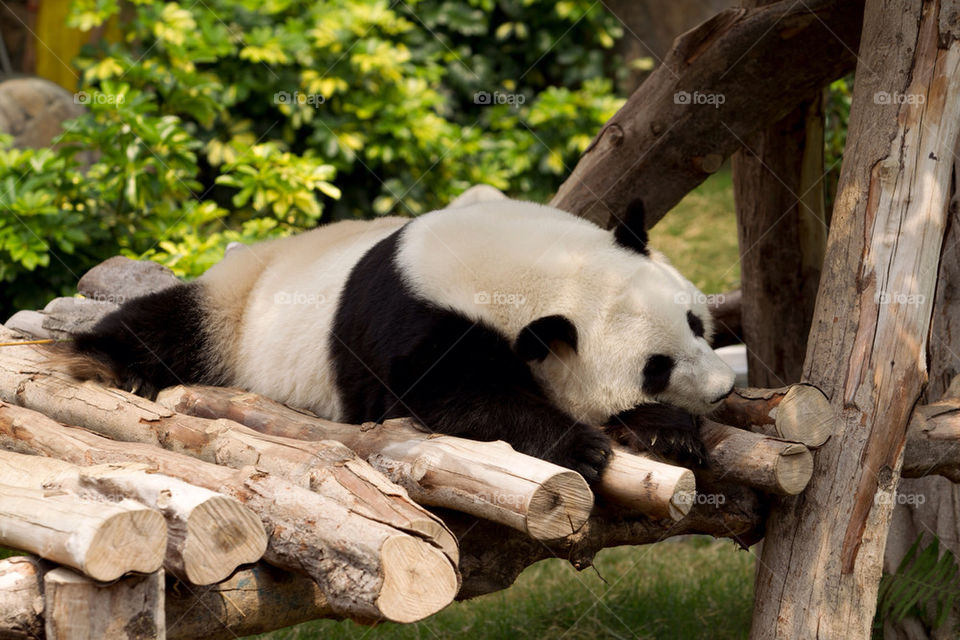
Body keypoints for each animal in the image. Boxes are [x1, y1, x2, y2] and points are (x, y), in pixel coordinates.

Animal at [64, 197, 736, 483]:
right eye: (655, 366)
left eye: (695, 322)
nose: (725, 388)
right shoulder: (418, 322)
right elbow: (447, 402)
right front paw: (582, 447)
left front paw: (666, 429)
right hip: (239, 304)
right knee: (174, 325)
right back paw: (113, 363)